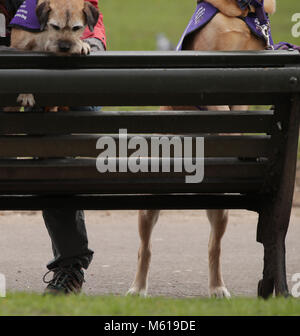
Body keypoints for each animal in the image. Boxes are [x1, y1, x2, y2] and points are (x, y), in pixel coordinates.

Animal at [127, 0, 278, 300]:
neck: (244, 14)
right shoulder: (212, 82)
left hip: (220, 210)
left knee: (214, 247)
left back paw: (217, 287)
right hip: (148, 206)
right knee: (144, 248)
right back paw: (138, 288)